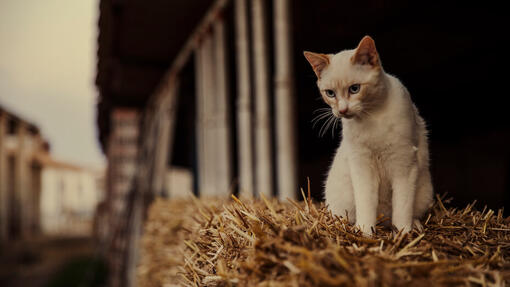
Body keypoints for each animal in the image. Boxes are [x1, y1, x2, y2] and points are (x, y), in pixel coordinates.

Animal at [304, 35, 432, 236]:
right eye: (330, 93)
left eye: (355, 89)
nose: (342, 110)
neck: (372, 116)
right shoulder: (362, 167)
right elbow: (366, 203)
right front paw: (365, 232)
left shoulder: (404, 165)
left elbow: (402, 207)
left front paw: (403, 233)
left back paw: (415, 225)